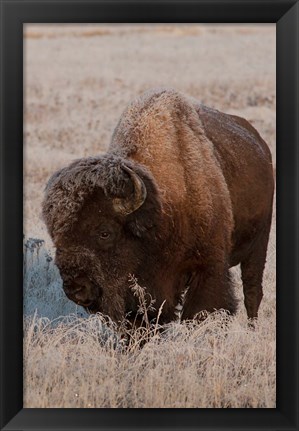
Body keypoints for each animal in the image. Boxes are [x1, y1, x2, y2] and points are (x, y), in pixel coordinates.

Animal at [42, 88, 274, 324]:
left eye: (104, 233)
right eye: (56, 237)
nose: (76, 288)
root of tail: (261, 145)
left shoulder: (208, 267)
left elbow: (199, 311)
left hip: (258, 245)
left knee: (252, 292)